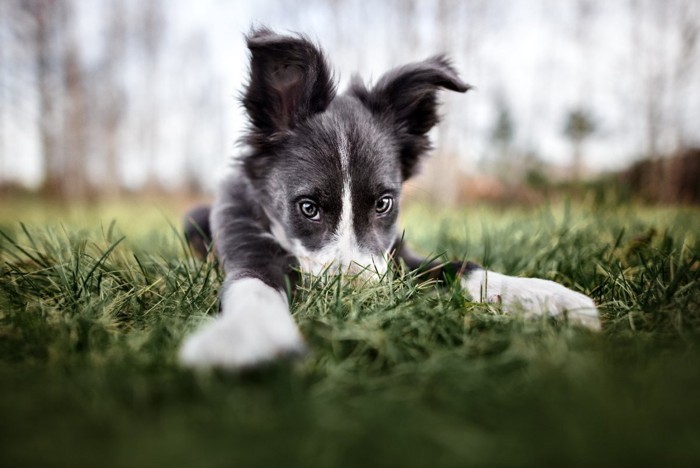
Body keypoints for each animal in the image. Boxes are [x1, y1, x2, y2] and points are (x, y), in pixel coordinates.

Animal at [178, 27, 600, 370]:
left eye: (383, 203)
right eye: (308, 208)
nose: (361, 299)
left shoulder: (397, 253)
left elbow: (458, 266)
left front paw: (546, 296)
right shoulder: (245, 241)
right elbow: (255, 285)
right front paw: (248, 335)